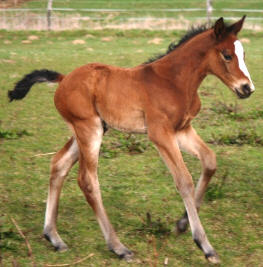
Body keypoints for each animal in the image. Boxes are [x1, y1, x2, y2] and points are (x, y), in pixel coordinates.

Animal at [8, 15, 256, 264]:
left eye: (243, 54)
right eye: (227, 55)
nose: (247, 88)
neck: (174, 80)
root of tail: (63, 78)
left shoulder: (182, 130)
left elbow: (210, 161)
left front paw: (181, 224)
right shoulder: (160, 133)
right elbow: (183, 180)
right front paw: (205, 246)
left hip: (91, 130)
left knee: (58, 164)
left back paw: (54, 238)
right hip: (89, 129)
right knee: (87, 180)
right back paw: (118, 247)